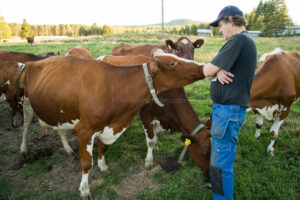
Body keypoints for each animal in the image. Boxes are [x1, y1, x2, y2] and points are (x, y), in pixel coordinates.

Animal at [18, 50, 206, 198]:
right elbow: (87, 163)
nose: (203, 67)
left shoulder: (110, 125)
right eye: (173, 62)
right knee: (25, 128)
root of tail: (35, 61)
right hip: (26, 104)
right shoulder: (85, 130)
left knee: (60, 130)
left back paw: (68, 150)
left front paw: (102, 165)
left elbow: (103, 147)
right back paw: (24, 151)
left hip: (56, 109)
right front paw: (85, 190)